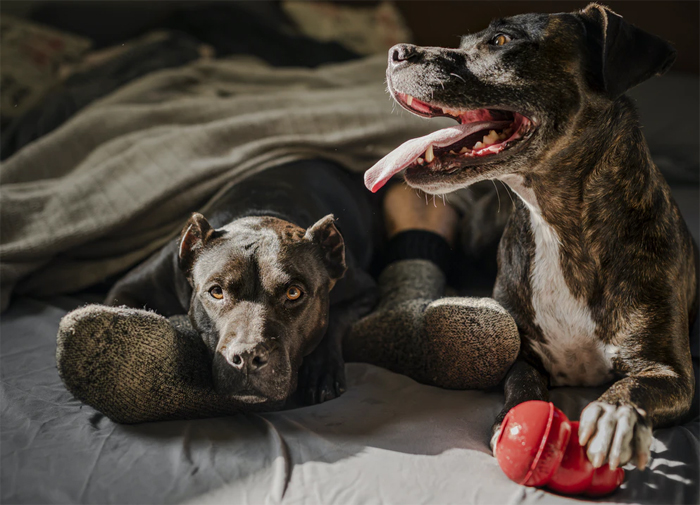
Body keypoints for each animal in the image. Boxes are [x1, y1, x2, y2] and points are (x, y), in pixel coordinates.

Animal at [106, 161, 378, 406]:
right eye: (216, 292)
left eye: (293, 293)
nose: (247, 357)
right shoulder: (129, 286)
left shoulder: (364, 291)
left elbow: (334, 321)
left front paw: (321, 372)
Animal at [364, 1, 696, 470]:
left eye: (502, 41)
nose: (396, 51)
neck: (557, 227)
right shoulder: (522, 355)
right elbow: (521, 384)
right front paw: (515, 418)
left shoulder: (672, 374)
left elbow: (636, 385)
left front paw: (614, 415)